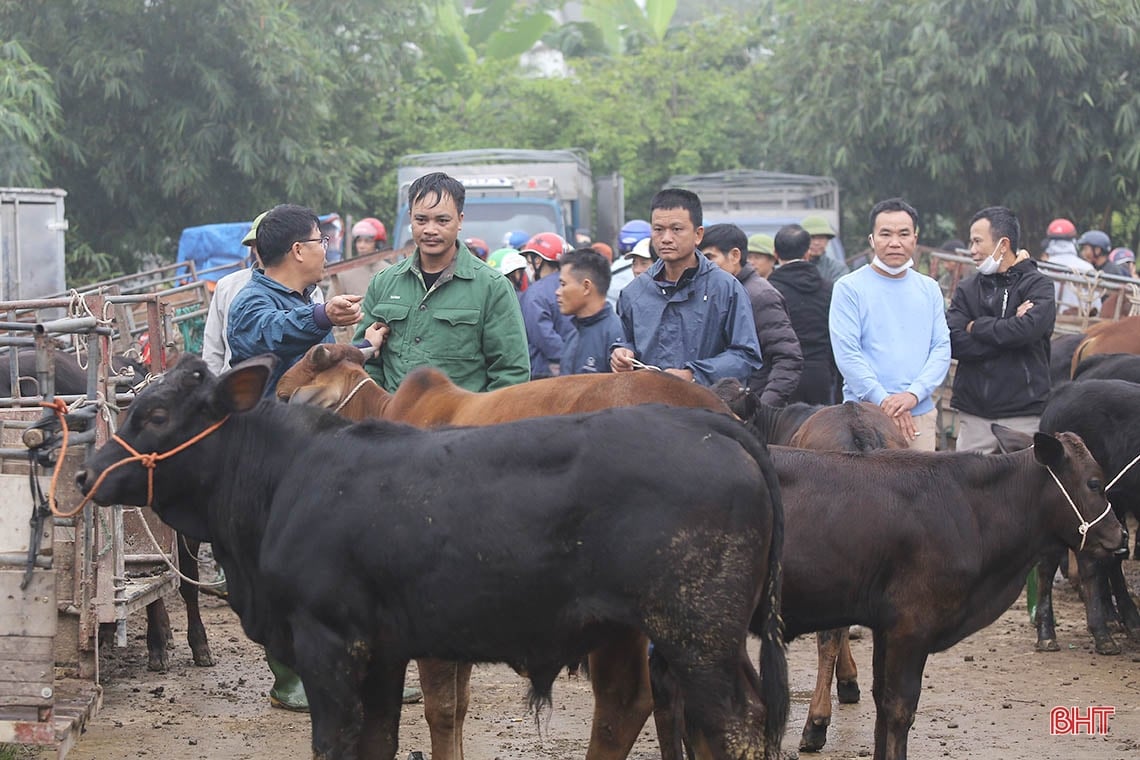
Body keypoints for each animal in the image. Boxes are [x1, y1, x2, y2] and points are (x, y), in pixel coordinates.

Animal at [652, 428, 1121, 760]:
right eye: (1095, 482)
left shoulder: (885, 624)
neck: (972, 508)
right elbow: (898, 709)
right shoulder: (910, 624)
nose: (1122, 540)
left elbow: (881, 703)